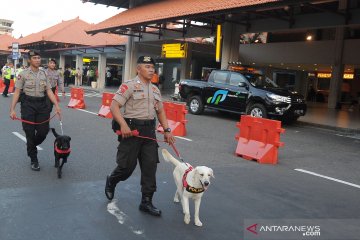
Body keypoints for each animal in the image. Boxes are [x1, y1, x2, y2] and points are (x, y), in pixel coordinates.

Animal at [105, 55, 176, 217]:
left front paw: (147, 204)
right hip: (129, 151)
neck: (144, 82)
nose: (152, 71)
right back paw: (109, 186)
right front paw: (126, 128)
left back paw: (147, 205)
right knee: (124, 167)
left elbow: (160, 110)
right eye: (147, 66)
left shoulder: (150, 145)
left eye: (151, 66)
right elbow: (115, 105)